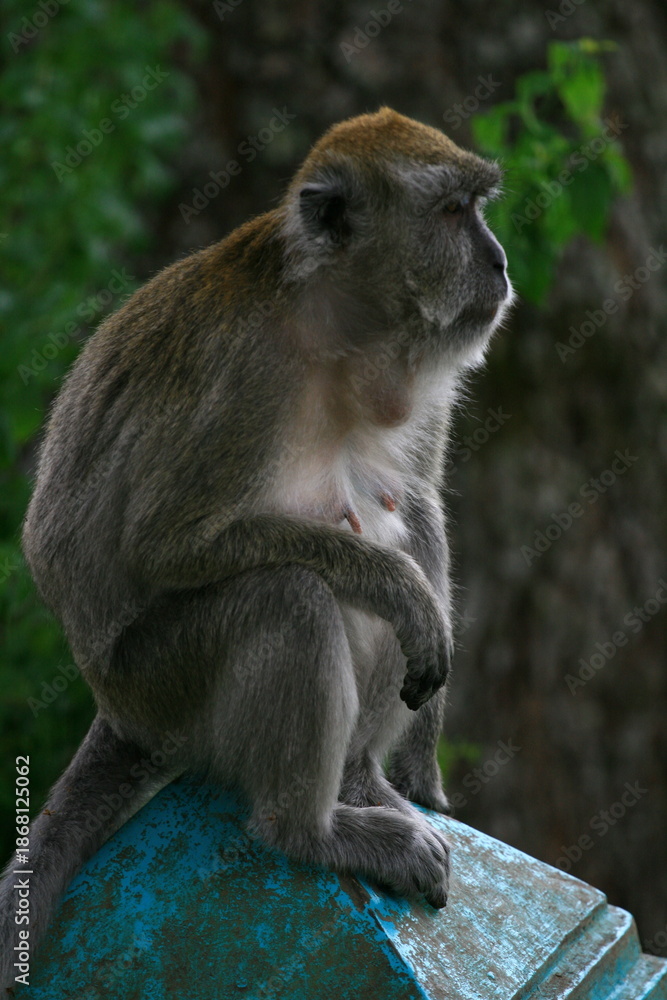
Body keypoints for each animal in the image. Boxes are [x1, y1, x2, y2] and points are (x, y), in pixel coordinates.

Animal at [0, 106, 511, 984]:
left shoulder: (425, 382)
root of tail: (115, 709)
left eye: (476, 207)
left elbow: (418, 502)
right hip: (159, 682)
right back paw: (308, 829)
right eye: (452, 214)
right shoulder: (245, 375)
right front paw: (393, 588)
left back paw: (359, 780)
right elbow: (166, 544)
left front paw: (420, 762)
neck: (340, 337)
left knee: (401, 524)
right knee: (287, 593)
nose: (499, 260)